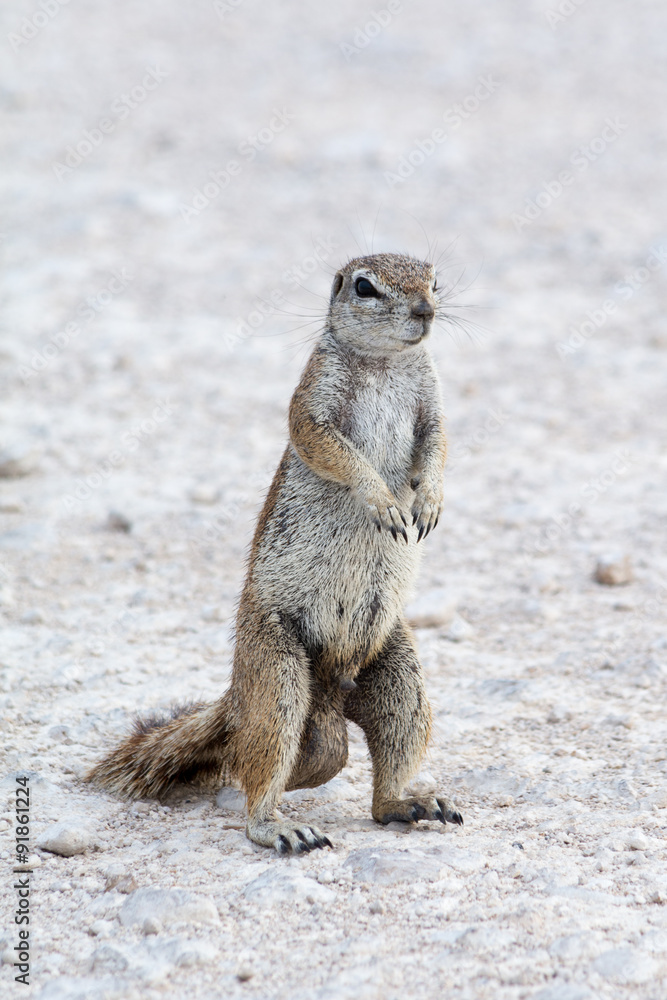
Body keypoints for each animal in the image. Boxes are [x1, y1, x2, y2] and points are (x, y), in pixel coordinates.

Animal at [87, 252, 463, 854]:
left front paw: (428, 501)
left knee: (367, 775)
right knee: (257, 767)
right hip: (278, 673)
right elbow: (328, 446)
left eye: (434, 280)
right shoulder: (315, 400)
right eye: (365, 287)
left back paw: (410, 801)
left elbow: (438, 446)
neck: (384, 363)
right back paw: (277, 824)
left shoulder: (432, 404)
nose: (426, 311)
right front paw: (383, 500)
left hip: (398, 673)